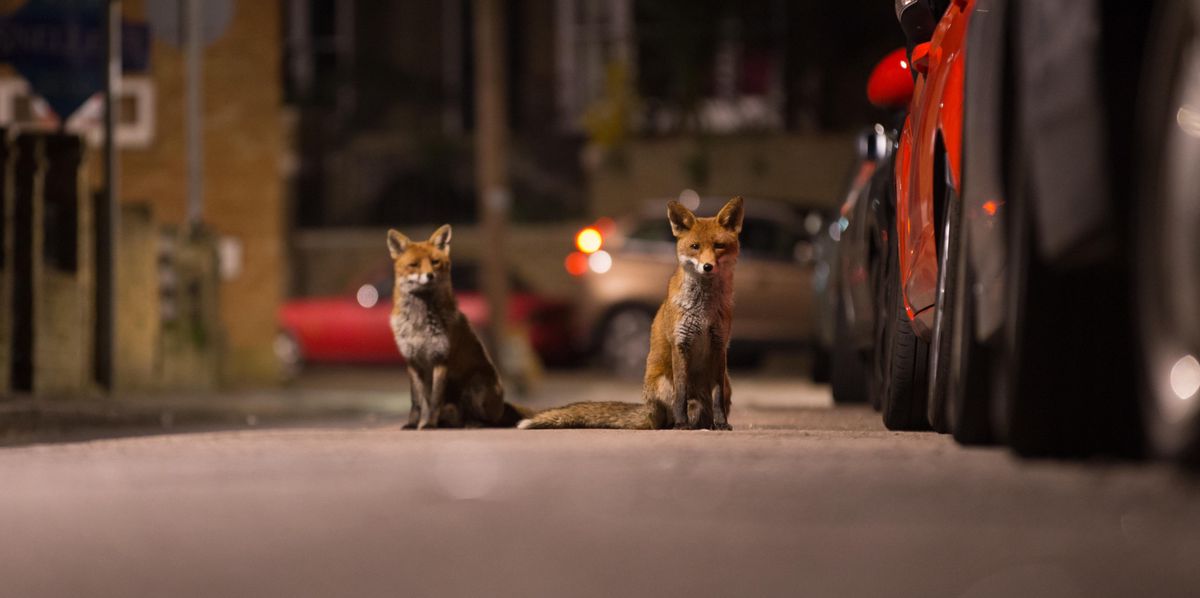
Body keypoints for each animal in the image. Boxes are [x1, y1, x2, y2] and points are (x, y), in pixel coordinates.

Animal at [387, 225, 528, 429]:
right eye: (414, 264)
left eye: (435, 262)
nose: (430, 276)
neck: (419, 323)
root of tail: (502, 406)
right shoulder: (412, 361)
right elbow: (416, 402)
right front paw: (413, 424)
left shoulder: (441, 358)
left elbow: (435, 400)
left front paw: (429, 425)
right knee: (455, 418)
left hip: (476, 385)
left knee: (490, 421)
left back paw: (472, 424)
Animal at [519, 196, 744, 430]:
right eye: (695, 247)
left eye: (719, 246)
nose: (707, 266)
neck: (703, 310)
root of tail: (648, 413)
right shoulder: (681, 343)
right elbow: (681, 395)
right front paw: (682, 425)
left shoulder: (719, 345)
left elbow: (717, 398)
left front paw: (722, 424)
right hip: (663, 384)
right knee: (667, 417)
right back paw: (679, 424)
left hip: (726, 382)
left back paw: (708, 424)